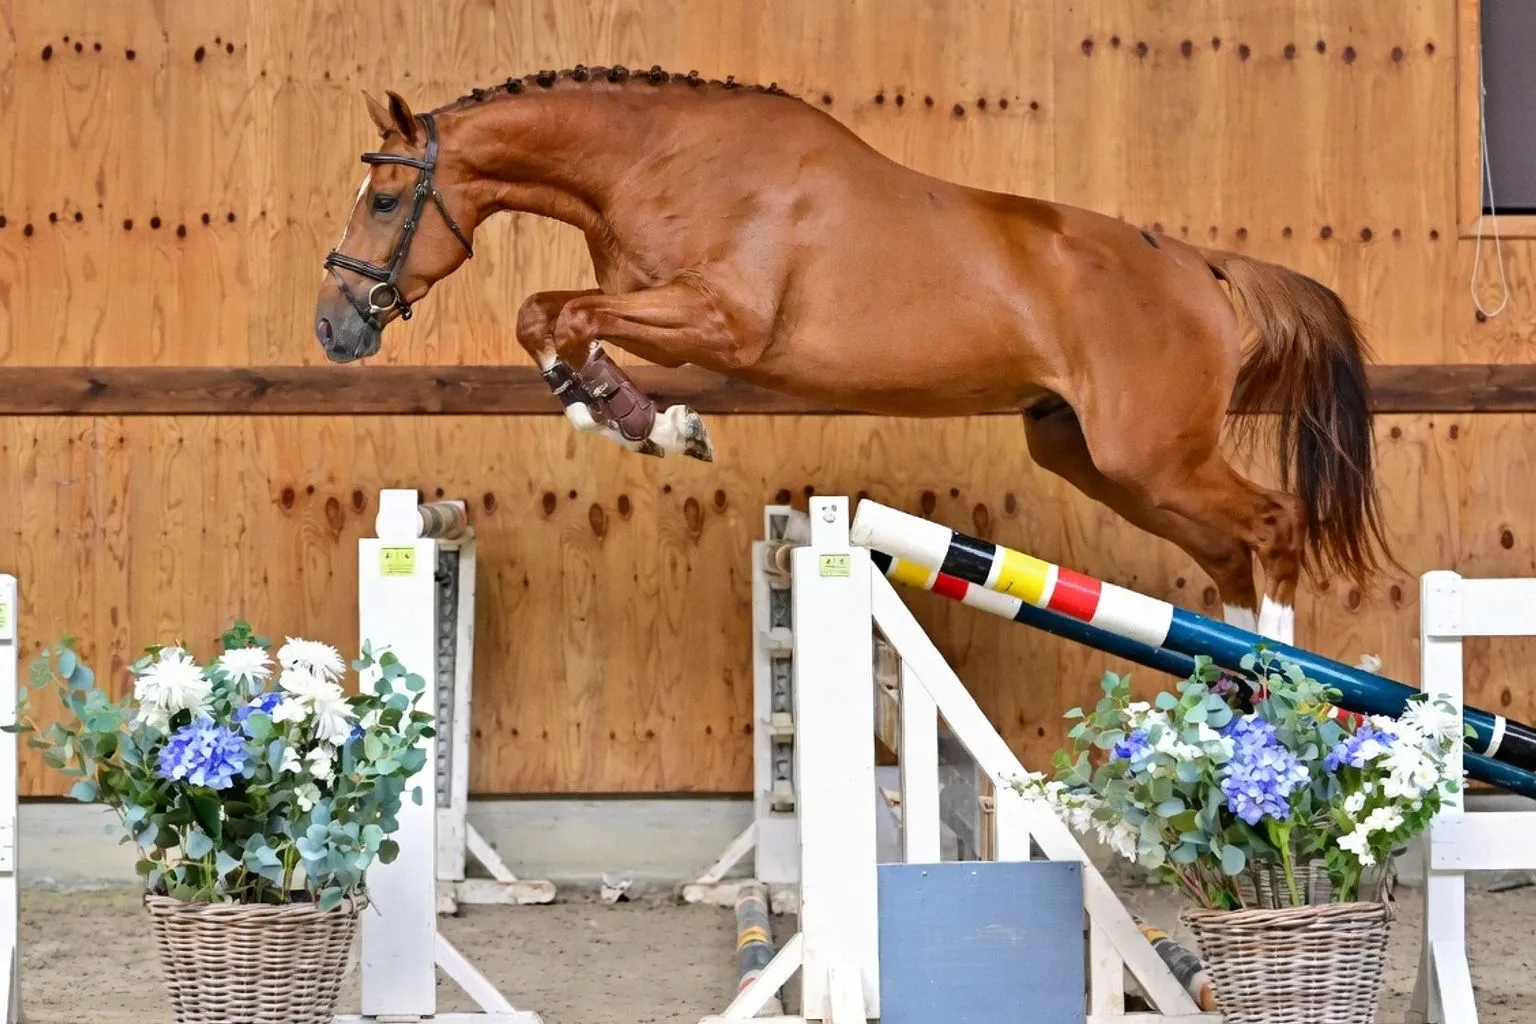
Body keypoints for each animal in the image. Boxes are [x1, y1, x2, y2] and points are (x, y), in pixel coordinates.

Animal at [314, 66, 1390, 646]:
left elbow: (554, 312)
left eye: (383, 199)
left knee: (1276, 524)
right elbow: (554, 319)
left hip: (1153, 455)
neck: (662, 160)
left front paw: (641, 420)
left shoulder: (721, 322)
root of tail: (1203, 267)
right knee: (1230, 556)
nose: (334, 327)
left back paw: (1283, 703)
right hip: (1094, 458)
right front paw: (643, 419)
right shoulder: (667, 315)